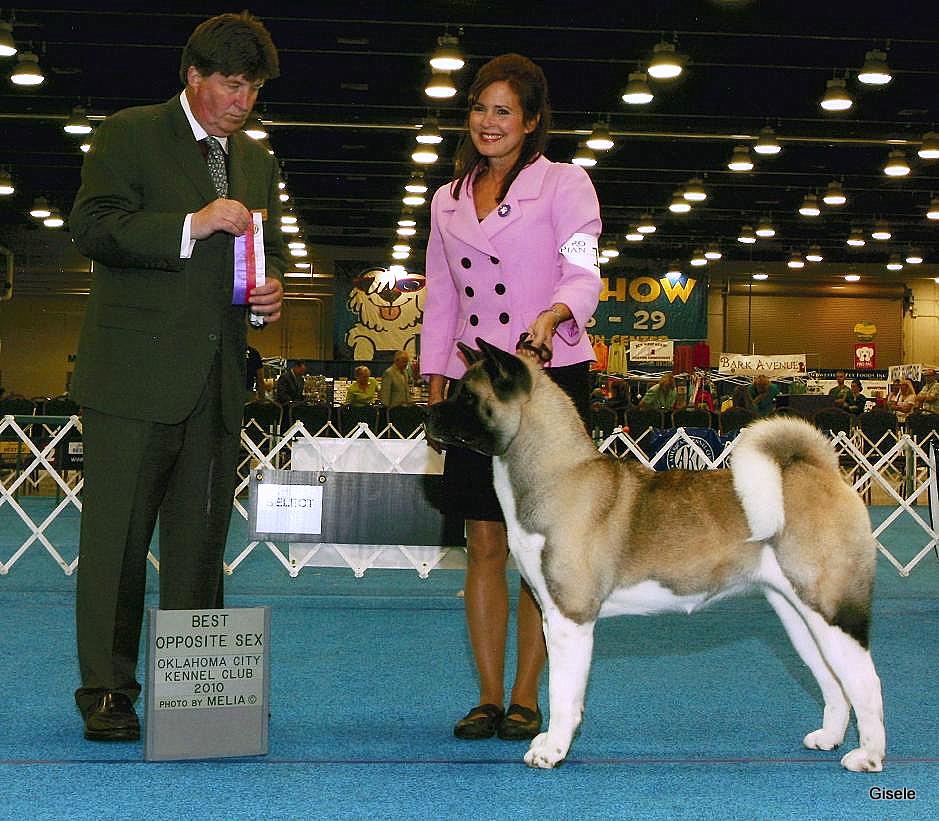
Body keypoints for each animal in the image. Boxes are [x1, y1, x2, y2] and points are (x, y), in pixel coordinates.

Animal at [430, 338, 884, 768]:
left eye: (467, 396)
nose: (429, 414)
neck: (557, 475)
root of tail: (824, 473)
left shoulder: (570, 618)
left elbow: (562, 694)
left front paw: (552, 751)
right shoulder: (553, 615)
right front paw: (549, 743)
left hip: (830, 609)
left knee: (865, 681)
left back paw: (868, 756)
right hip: (798, 615)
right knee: (834, 682)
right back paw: (829, 738)